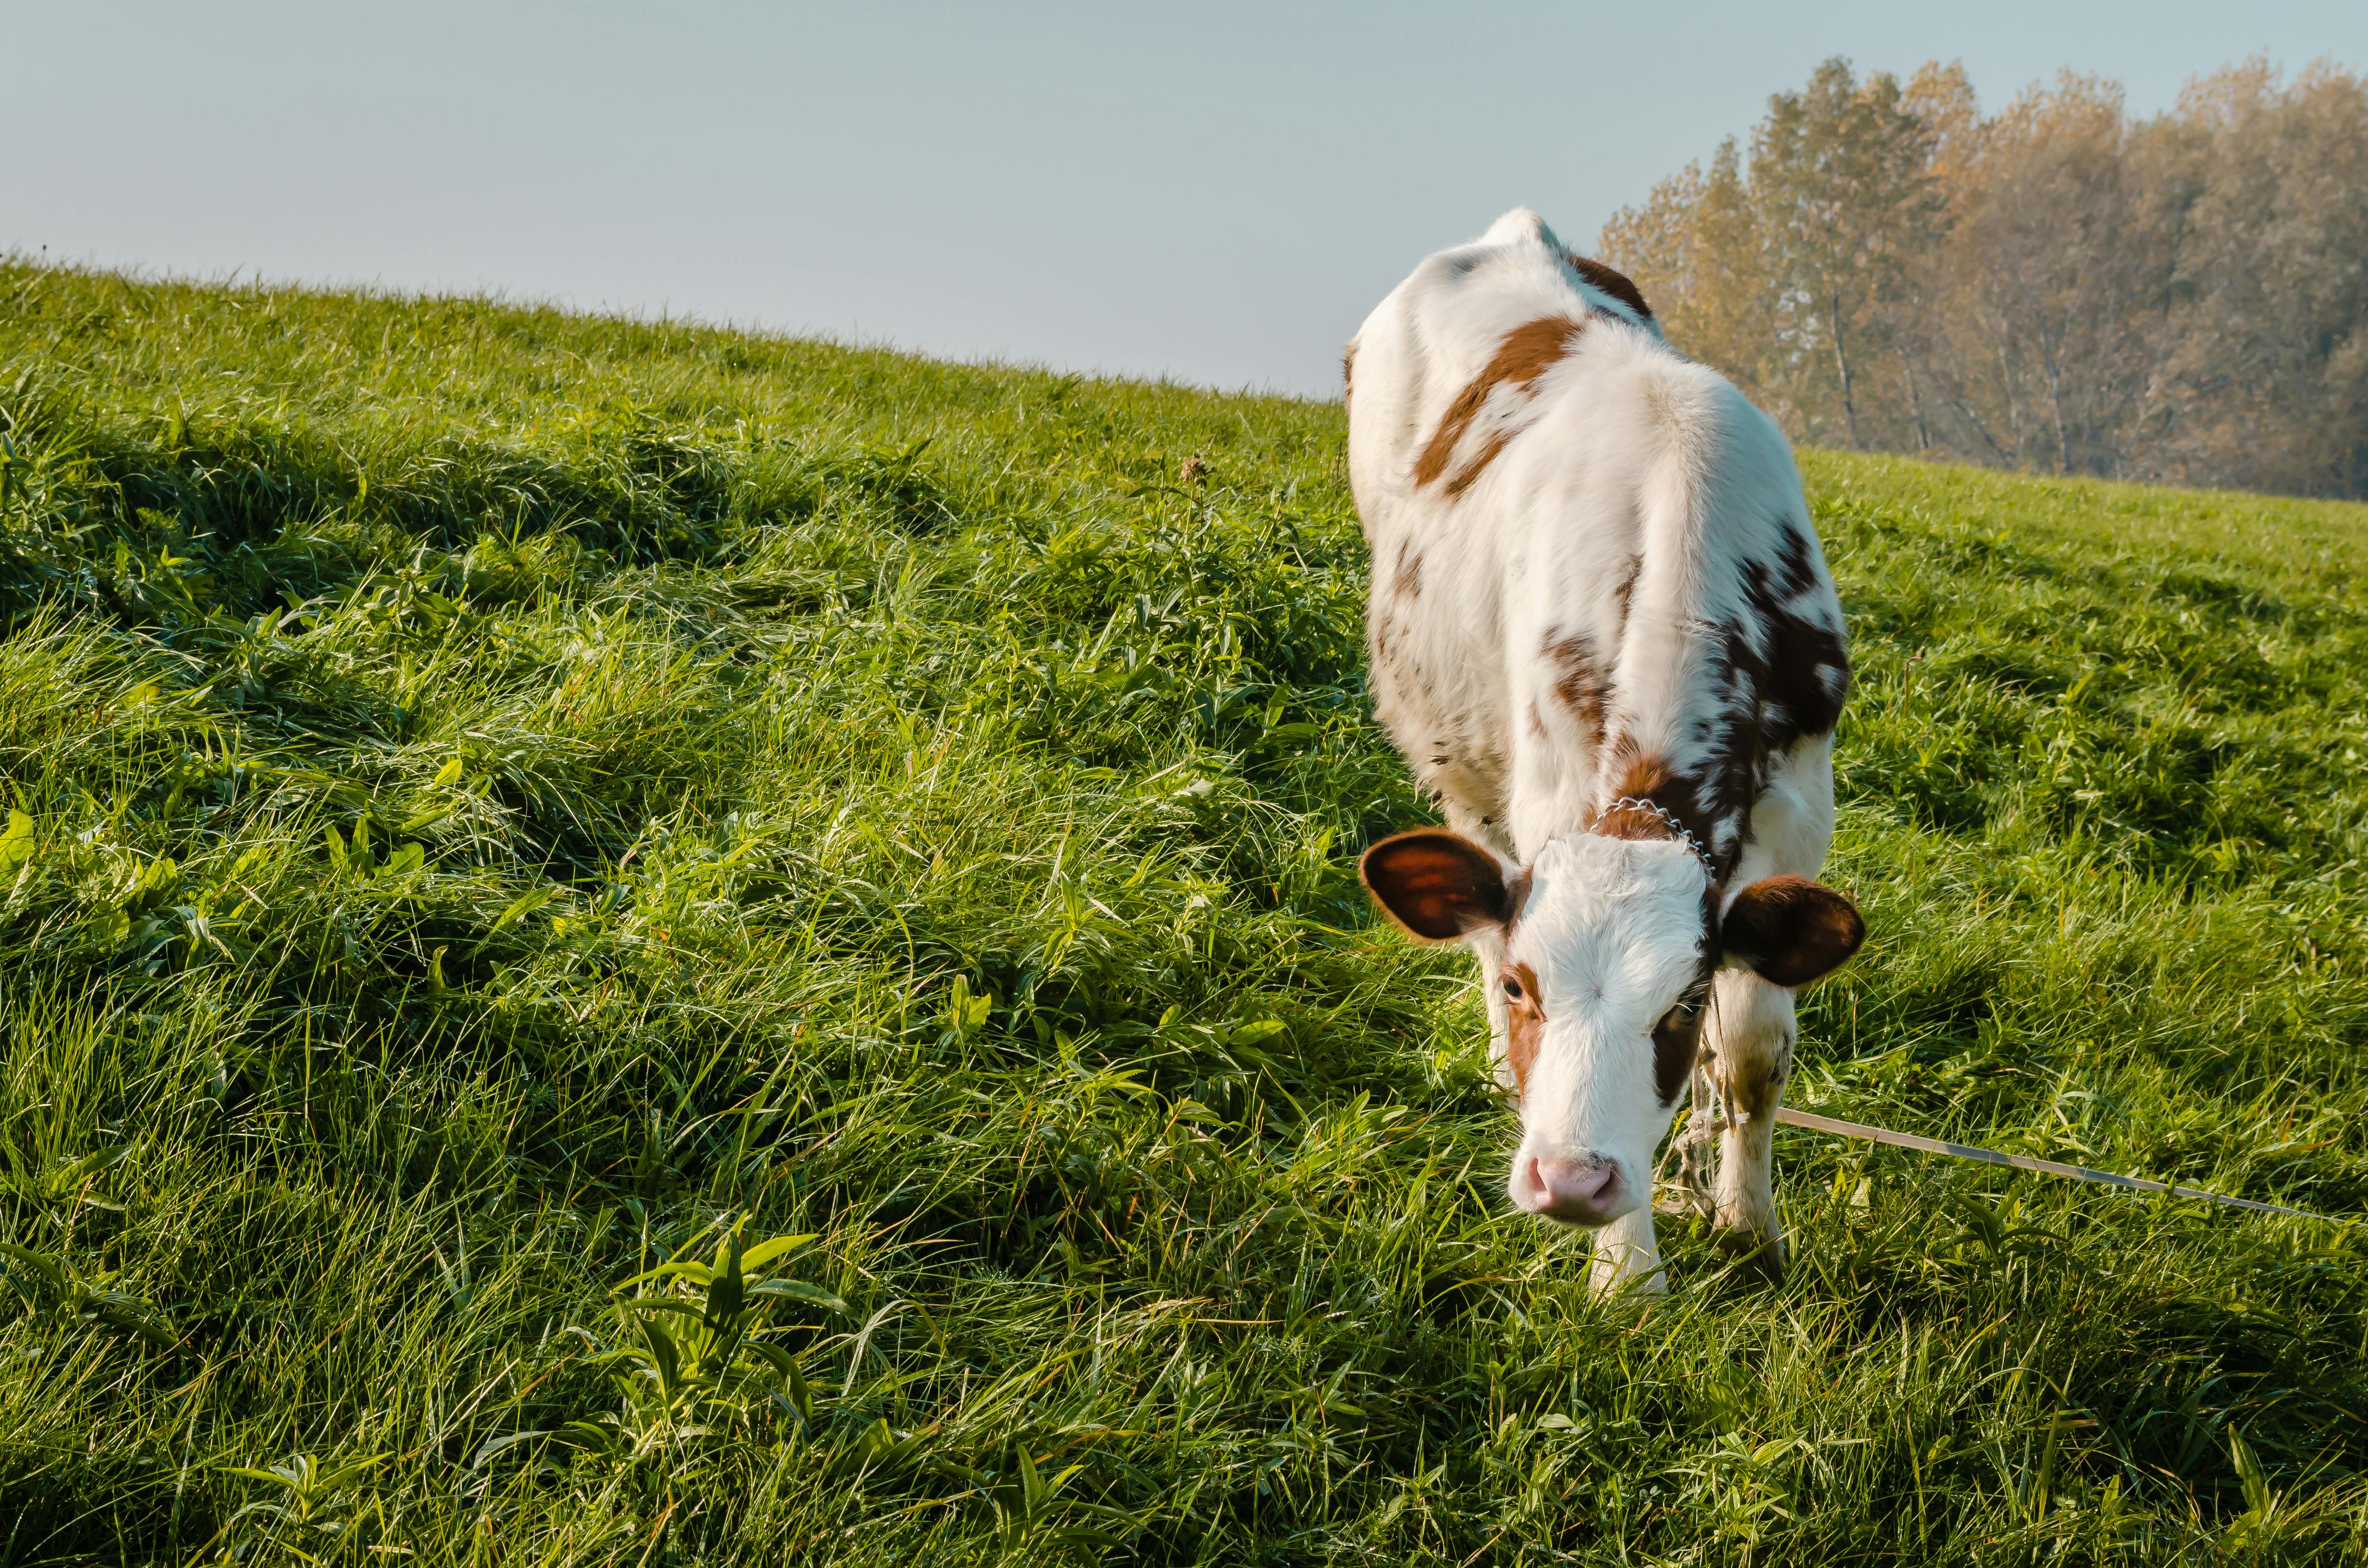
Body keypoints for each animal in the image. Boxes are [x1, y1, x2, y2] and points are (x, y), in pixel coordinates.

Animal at [1354, 208, 1866, 1298]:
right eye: (1525, 987)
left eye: (1682, 1003)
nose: (1572, 1181)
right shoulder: (1550, 793)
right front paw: (1627, 1277)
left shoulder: (1799, 810)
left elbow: (1752, 1051)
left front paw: (1745, 1224)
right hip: (1459, 761)